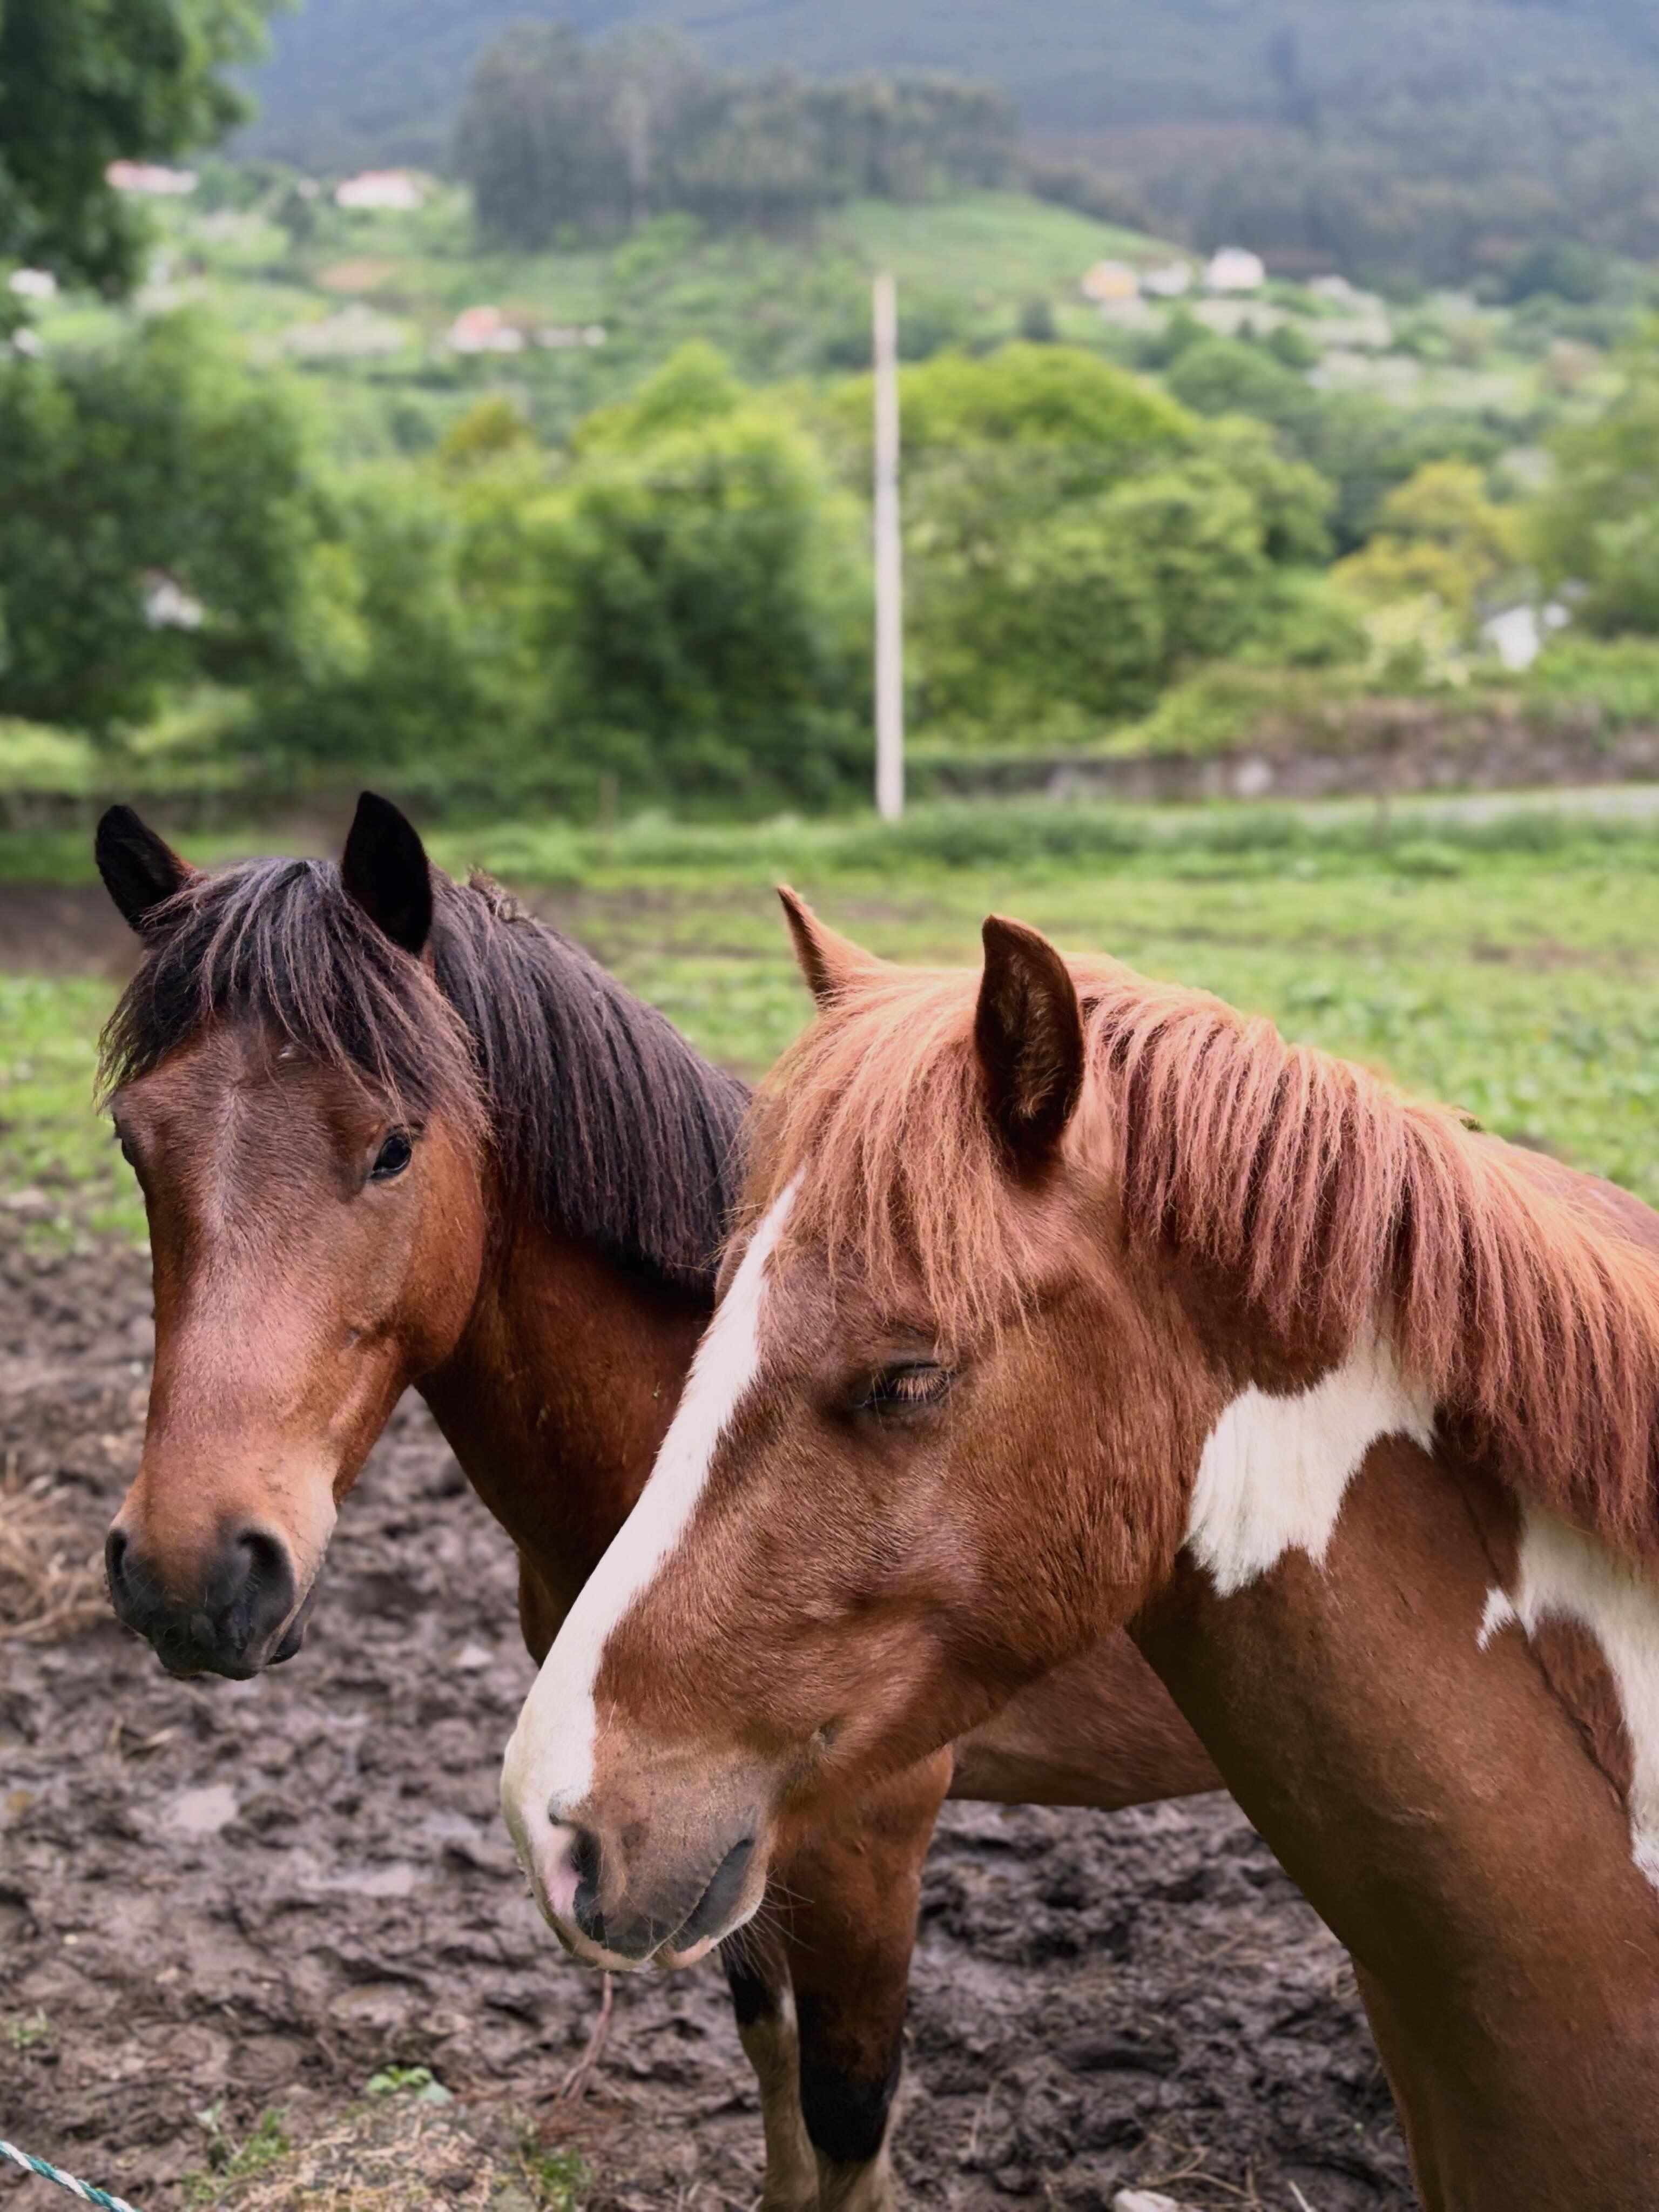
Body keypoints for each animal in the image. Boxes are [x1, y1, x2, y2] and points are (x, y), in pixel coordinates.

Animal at [94, 799, 1217, 2212]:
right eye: (135, 1143)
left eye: (393, 1146)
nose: (190, 1575)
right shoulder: (695, 1827)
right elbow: (766, 2041)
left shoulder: (865, 1835)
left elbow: (849, 2112)